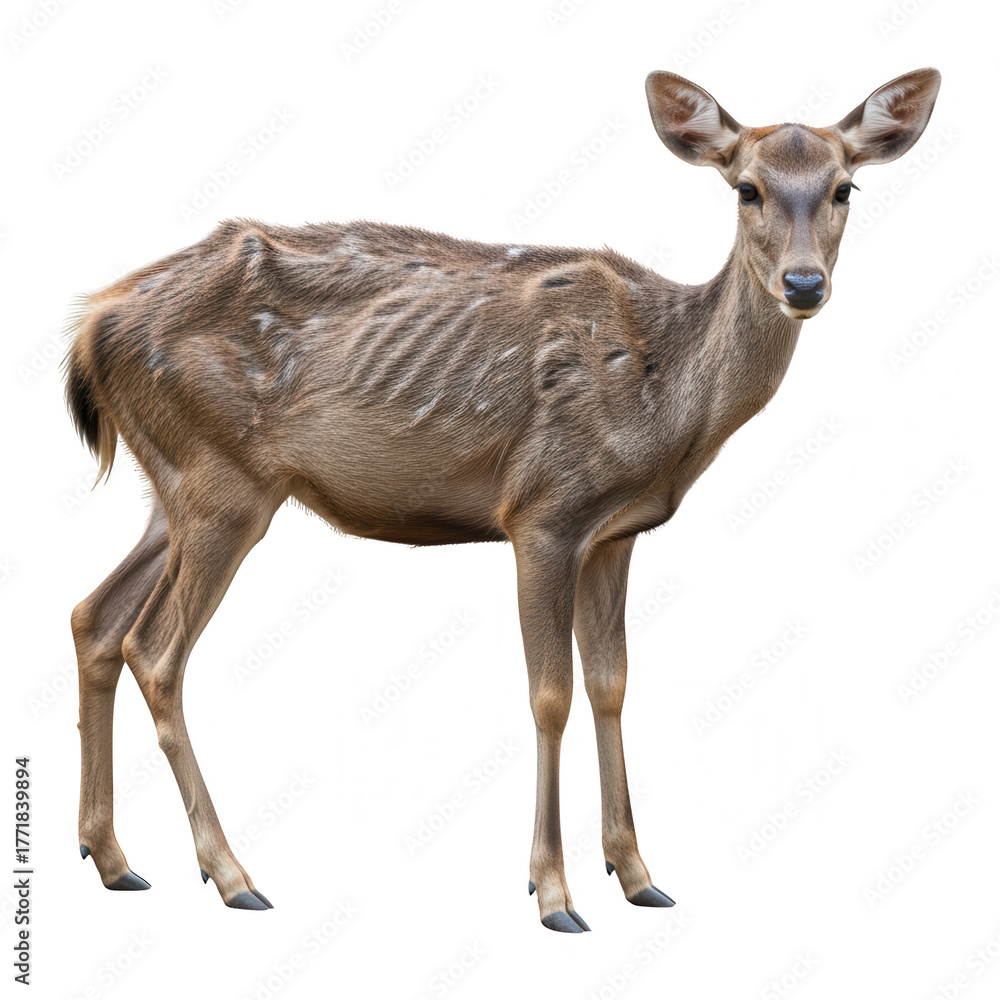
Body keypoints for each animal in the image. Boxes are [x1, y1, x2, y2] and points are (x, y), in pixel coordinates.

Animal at [65, 67, 941, 932]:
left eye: (843, 188)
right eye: (748, 189)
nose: (805, 282)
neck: (666, 404)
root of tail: (92, 328)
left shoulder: (616, 532)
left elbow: (613, 684)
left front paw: (637, 875)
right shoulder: (543, 509)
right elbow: (549, 694)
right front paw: (553, 893)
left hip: (174, 487)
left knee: (93, 619)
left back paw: (113, 859)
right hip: (223, 483)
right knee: (155, 650)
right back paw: (230, 873)